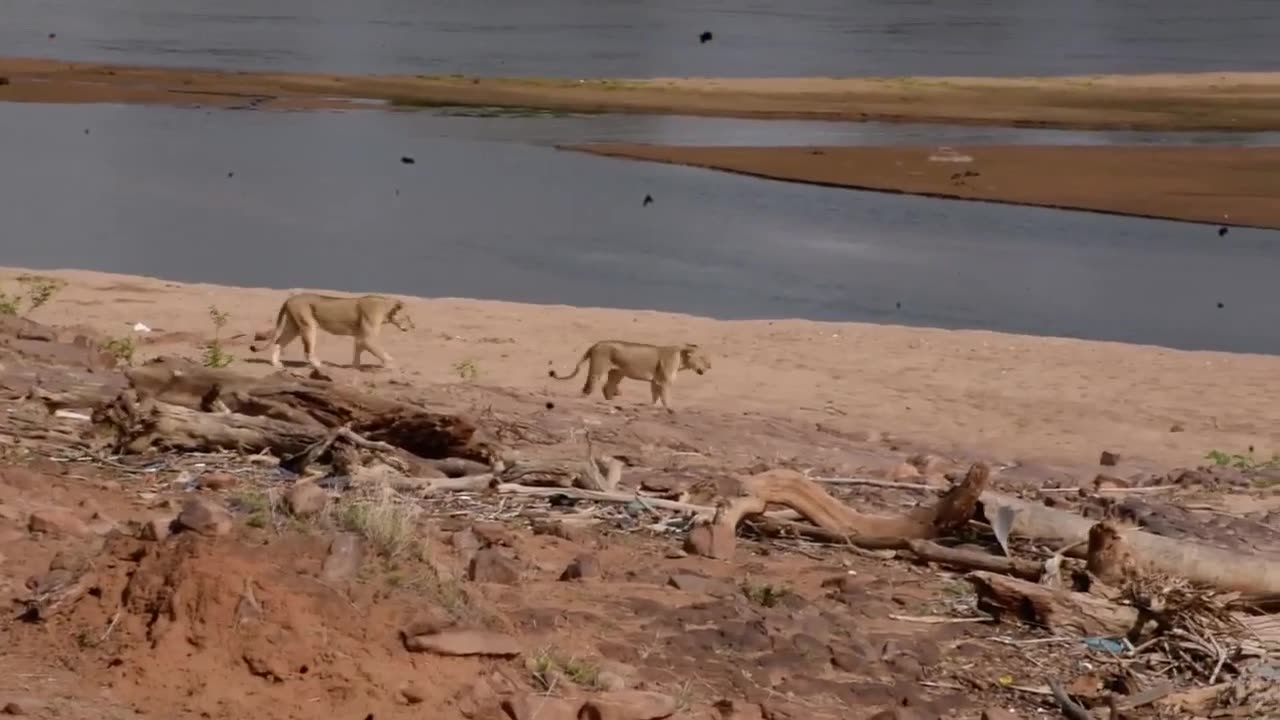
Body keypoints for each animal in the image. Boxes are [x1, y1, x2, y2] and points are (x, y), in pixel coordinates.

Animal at [247, 292, 412, 368]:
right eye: (408, 317)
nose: (413, 327)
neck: (385, 309)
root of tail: (290, 299)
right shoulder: (368, 337)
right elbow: (382, 352)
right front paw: (393, 366)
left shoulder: (360, 336)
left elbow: (357, 351)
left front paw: (354, 367)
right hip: (308, 325)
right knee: (308, 351)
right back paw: (320, 365)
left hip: (293, 326)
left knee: (278, 342)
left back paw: (276, 364)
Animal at [550, 340, 711, 412]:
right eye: (702, 358)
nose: (710, 366)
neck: (681, 359)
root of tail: (596, 344)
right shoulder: (664, 381)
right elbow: (665, 397)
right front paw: (669, 408)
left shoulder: (655, 381)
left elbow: (655, 395)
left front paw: (655, 406)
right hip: (598, 369)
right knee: (589, 386)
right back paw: (586, 400)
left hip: (617, 373)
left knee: (607, 388)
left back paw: (612, 402)